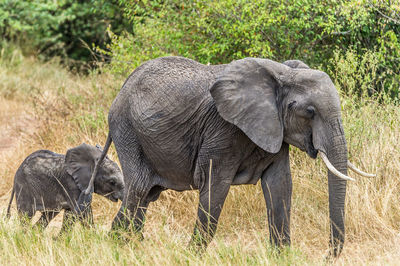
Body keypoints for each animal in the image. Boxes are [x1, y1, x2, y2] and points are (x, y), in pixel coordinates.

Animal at [79, 55, 374, 256]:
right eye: (310, 112)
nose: (328, 256)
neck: (281, 73)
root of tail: (120, 91)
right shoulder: (222, 131)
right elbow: (215, 189)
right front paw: (191, 256)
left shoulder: (274, 130)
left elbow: (280, 186)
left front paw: (282, 257)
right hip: (127, 130)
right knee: (138, 191)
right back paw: (119, 246)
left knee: (146, 196)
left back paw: (129, 247)